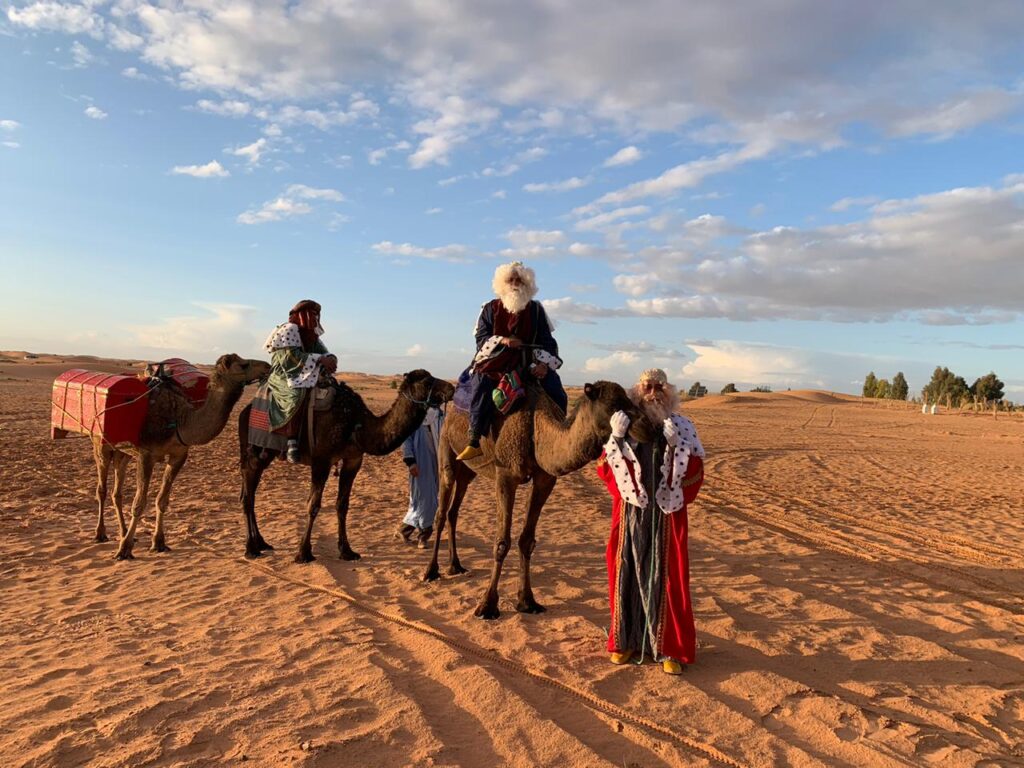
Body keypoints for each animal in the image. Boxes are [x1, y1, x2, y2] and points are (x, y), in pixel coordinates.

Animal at [92, 354, 272, 561]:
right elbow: (139, 503)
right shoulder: (146, 455)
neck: (179, 420)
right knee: (102, 489)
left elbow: (162, 500)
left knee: (117, 491)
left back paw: (122, 532)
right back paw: (101, 534)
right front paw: (124, 549)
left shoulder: (178, 455)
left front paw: (159, 543)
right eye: (244, 364)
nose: (267, 366)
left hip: (123, 452)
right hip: (100, 445)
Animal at [237, 370, 454, 561]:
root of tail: (244, 412)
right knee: (248, 496)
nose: (451, 388)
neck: (357, 424)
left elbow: (342, 505)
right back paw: (251, 549)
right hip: (254, 451)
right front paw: (303, 553)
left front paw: (347, 551)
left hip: (265, 455)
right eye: (427, 381)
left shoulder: (353, 460)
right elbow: (313, 505)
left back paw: (262, 543)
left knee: (250, 494)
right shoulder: (321, 460)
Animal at [421, 382, 655, 622]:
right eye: (614, 405)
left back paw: (455, 566)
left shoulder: (545, 479)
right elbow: (502, 542)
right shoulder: (505, 475)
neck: (537, 431)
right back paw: (431, 571)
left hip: (468, 471)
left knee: (454, 510)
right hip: (446, 447)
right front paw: (487, 606)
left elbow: (527, 540)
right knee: (441, 510)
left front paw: (527, 602)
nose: (650, 427)